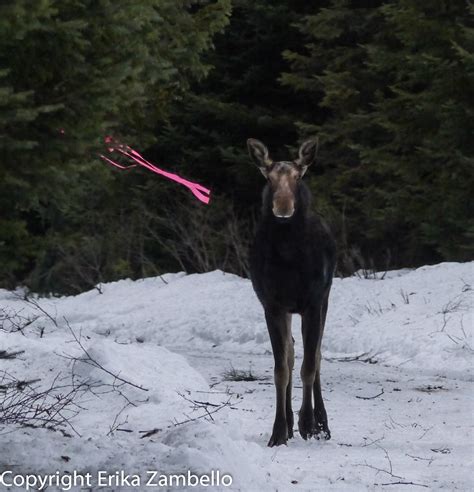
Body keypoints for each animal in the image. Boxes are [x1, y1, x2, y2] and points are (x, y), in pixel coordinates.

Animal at [246, 138, 336, 446]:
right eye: (269, 178)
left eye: (298, 177)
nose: (283, 207)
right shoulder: (272, 305)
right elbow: (281, 368)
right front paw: (279, 430)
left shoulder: (312, 302)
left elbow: (309, 365)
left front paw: (308, 423)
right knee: (292, 351)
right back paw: (288, 421)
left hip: (326, 298)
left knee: (316, 355)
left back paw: (322, 422)